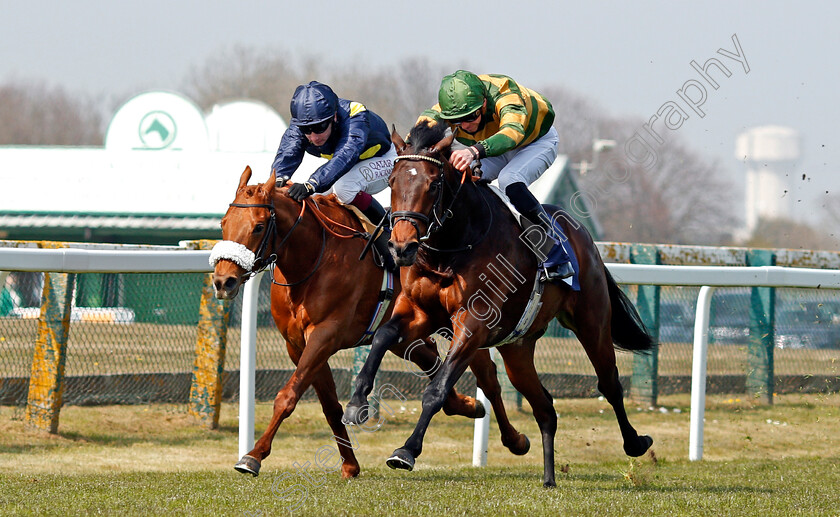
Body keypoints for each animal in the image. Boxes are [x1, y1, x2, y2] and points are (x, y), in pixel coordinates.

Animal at [210, 167, 528, 478]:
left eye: (258, 226)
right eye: (224, 223)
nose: (223, 281)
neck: (315, 259)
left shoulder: (325, 335)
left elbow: (288, 396)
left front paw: (253, 456)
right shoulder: (298, 345)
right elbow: (329, 406)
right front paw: (350, 465)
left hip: (462, 323)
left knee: (488, 377)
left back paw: (515, 439)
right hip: (412, 331)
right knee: (434, 361)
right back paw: (468, 405)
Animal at [342, 123, 656, 486]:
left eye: (433, 184)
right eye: (392, 181)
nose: (401, 247)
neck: (453, 247)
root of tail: (584, 237)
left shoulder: (473, 324)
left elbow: (437, 389)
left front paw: (407, 450)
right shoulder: (422, 313)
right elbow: (382, 336)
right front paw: (356, 403)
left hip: (592, 323)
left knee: (609, 382)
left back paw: (635, 443)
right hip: (517, 348)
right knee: (544, 406)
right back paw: (548, 477)